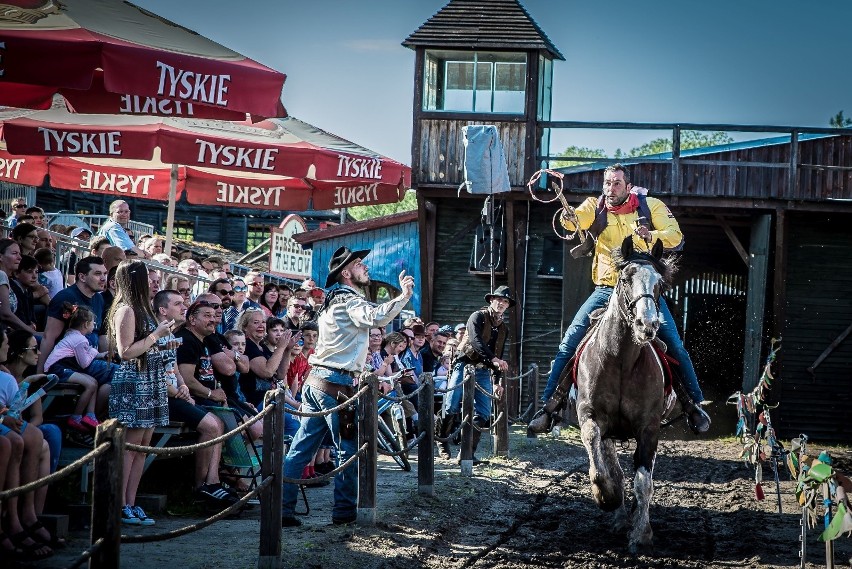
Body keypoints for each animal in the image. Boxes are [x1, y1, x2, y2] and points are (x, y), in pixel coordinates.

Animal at [576, 235, 676, 552]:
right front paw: (605, 497)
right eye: (625, 278)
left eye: (660, 284)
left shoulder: (649, 428)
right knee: (614, 469)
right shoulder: (591, 417)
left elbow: (644, 482)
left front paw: (641, 533)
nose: (648, 325)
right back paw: (619, 513)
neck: (618, 359)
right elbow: (602, 466)